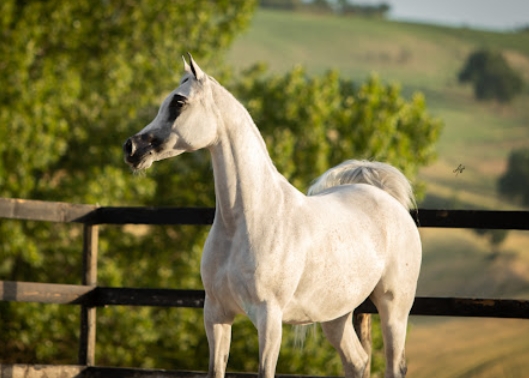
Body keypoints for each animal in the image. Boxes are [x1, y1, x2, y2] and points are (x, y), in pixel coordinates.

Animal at [124, 54, 420, 378]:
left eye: (178, 102)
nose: (132, 148)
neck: (249, 221)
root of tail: (388, 200)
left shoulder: (268, 319)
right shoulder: (216, 314)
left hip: (394, 309)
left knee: (394, 364)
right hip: (336, 315)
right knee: (358, 362)